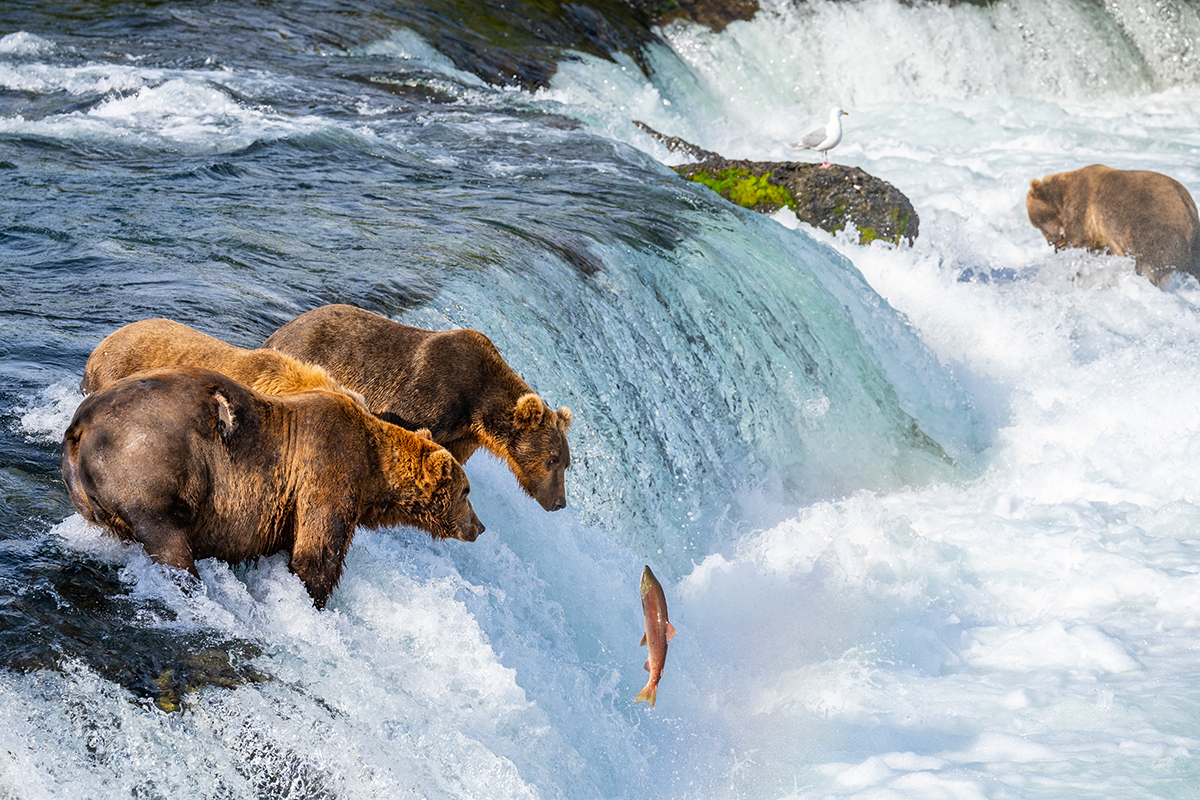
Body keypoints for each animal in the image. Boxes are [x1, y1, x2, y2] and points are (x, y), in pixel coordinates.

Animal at [59, 367, 482, 606]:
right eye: (467, 492)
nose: (478, 527)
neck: (375, 472)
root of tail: (80, 427)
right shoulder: (329, 464)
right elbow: (318, 552)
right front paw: (314, 598)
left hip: (95, 497)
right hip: (150, 470)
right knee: (169, 543)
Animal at [265, 303, 573, 515]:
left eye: (566, 463)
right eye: (553, 459)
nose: (560, 502)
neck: (478, 405)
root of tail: (282, 329)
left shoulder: (462, 433)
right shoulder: (431, 391)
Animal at [1022, 163, 1200, 287]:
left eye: (1039, 224)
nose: (1053, 243)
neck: (1061, 197)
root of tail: (1189, 208)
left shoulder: (1081, 208)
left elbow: (1078, 242)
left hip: (1154, 227)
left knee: (1150, 265)